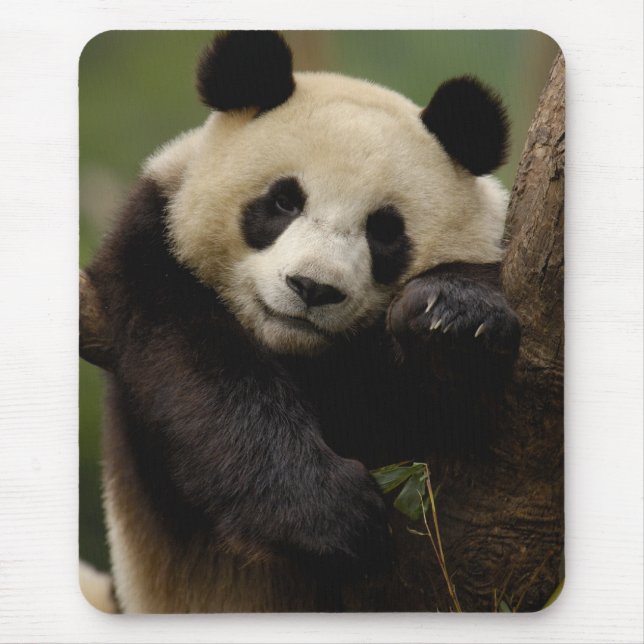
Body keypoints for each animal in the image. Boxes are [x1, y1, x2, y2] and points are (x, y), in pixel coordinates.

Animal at [83, 30, 520, 612]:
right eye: (284, 200)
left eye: (385, 230)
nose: (313, 287)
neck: (300, 353)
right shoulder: (155, 255)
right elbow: (203, 377)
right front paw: (333, 517)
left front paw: (452, 322)